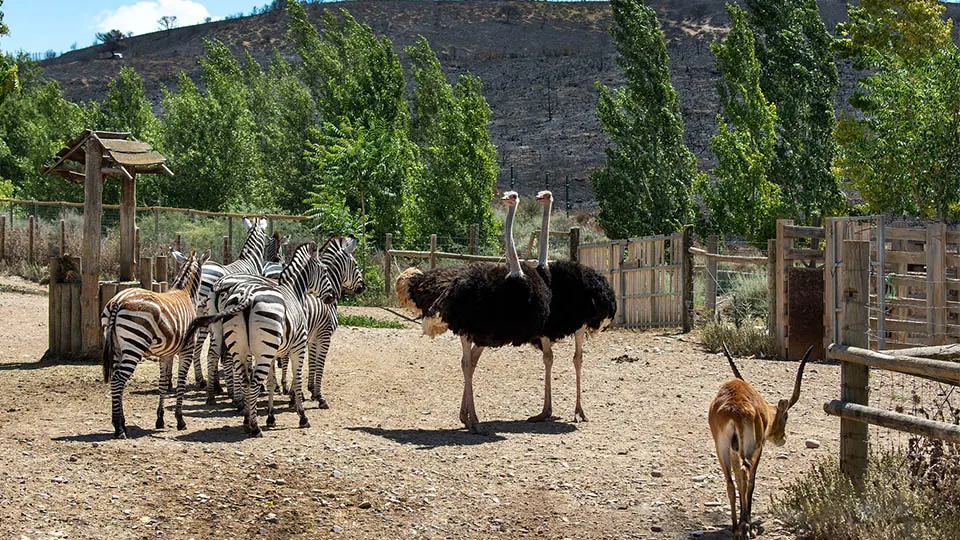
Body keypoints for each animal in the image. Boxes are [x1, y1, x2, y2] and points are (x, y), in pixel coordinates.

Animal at [99, 249, 208, 438]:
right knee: (118, 380)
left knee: (115, 380)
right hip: (134, 345)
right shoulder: (187, 349)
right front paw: (180, 420)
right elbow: (181, 382)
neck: (184, 292)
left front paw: (160, 419)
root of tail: (117, 301)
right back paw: (119, 428)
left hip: (117, 348)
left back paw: (121, 423)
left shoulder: (166, 353)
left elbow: (163, 383)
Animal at [184, 243, 330, 436]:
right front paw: (302, 416)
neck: (294, 292)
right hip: (263, 351)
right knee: (252, 383)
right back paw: (254, 426)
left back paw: (245, 418)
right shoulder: (298, 347)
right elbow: (297, 380)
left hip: (239, 347)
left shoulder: (274, 352)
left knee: (242, 378)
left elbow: (270, 382)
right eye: (324, 270)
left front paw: (271, 417)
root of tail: (247, 296)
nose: (332, 297)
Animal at [704, 344, 808, 536]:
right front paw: (748, 522)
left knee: (730, 482)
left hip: (721, 448)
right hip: (749, 448)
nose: (783, 438)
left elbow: (738, 481)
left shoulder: (733, 451)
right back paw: (745, 527)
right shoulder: (759, 448)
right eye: (786, 416)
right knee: (746, 473)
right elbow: (751, 481)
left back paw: (736, 528)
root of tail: (734, 409)